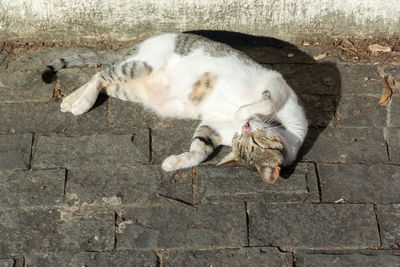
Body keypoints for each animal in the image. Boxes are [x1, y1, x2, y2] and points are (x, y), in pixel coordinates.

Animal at [42, 33, 308, 184]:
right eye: (253, 141)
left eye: (244, 142)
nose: (245, 125)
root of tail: (139, 43)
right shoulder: (277, 85)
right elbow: (267, 101)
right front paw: (243, 110)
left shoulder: (212, 126)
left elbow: (199, 150)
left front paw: (175, 163)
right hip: (140, 65)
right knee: (101, 73)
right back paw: (80, 102)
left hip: (129, 88)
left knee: (103, 82)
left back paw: (73, 100)